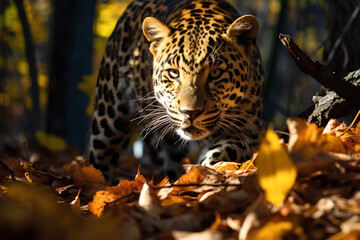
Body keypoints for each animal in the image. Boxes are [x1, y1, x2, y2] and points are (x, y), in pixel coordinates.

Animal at [88, 0, 264, 180]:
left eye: (215, 73)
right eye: (174, 73)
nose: (190, 113)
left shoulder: (249, 131)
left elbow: (224, 154)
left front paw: (208, 171)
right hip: (107, 118)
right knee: (101, 157)